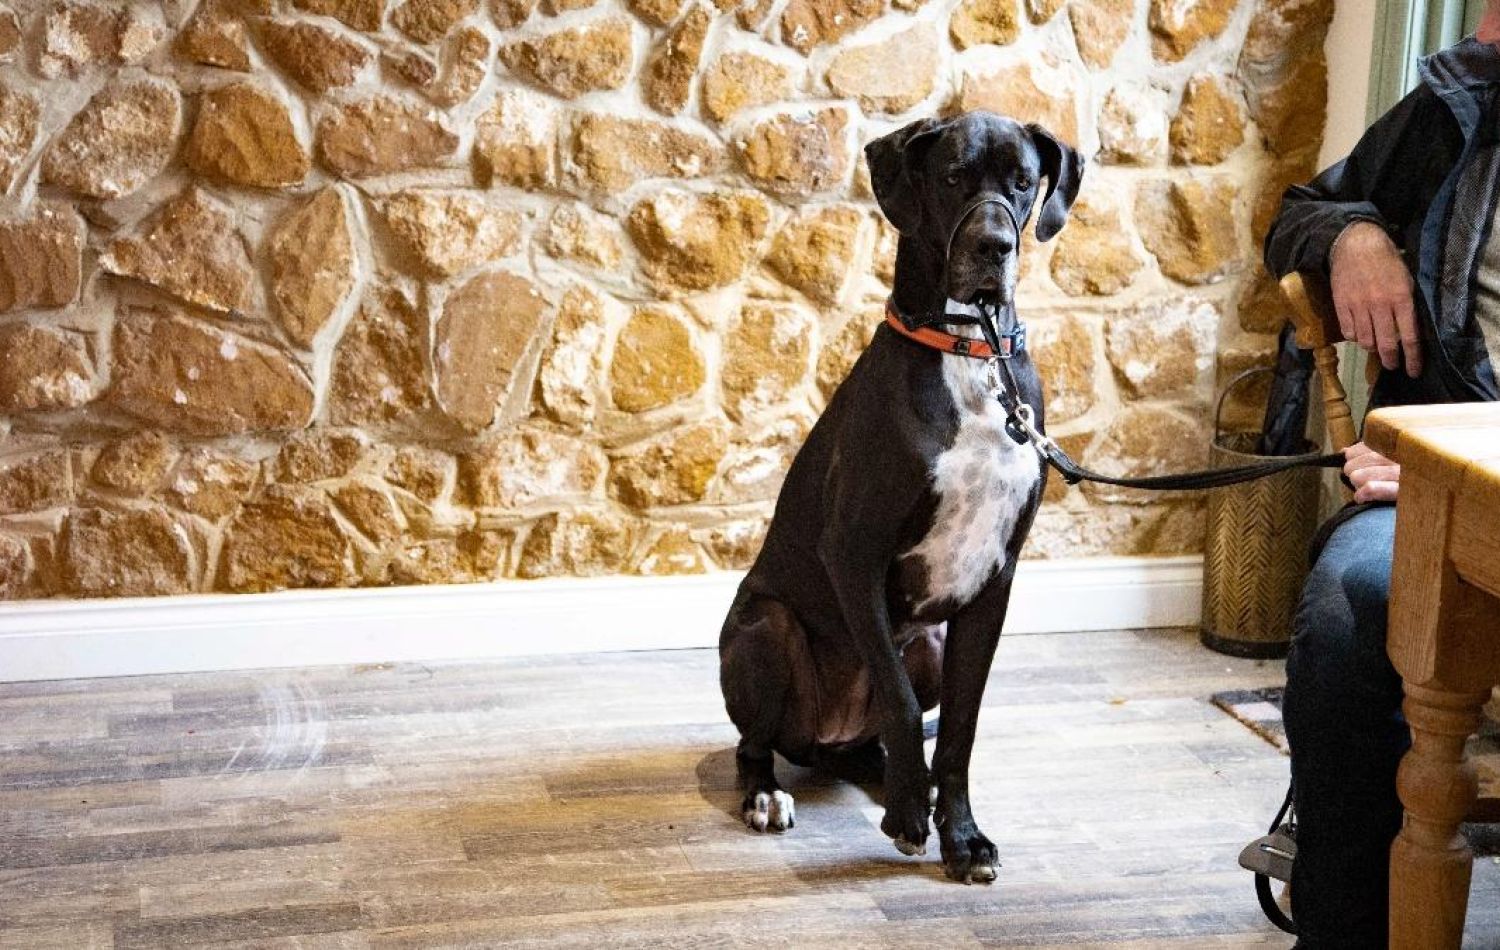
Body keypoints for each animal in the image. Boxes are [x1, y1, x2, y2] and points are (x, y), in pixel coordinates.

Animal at [720, 109, 1086, 882]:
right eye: (951, 177)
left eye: (1023, 181)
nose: (994, 245)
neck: (971, 357)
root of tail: (826, 739)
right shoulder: (854, 554)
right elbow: (892, 689)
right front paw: (916, 817)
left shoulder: (994, 582)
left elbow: (959, 732)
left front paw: (962, 833)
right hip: (766, 629)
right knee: (754, 745)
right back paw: (770, 794)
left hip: (934, 644)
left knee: (889, 739)